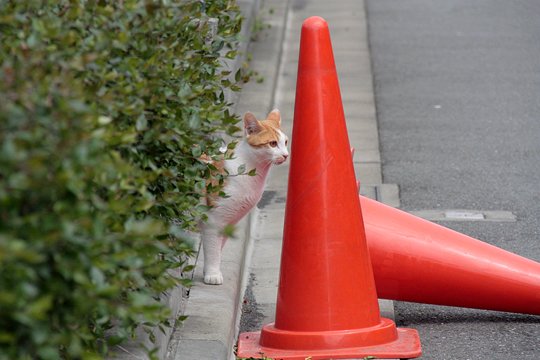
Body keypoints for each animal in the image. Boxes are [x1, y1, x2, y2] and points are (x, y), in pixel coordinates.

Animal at [201, 109, 286, 284]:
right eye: (273, 143)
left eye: (285, 142)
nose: (286, 155)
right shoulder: (213, 220)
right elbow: (213, 249)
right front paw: (212, 274)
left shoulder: (228, 221)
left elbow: (217, 247)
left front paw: (209, 271)